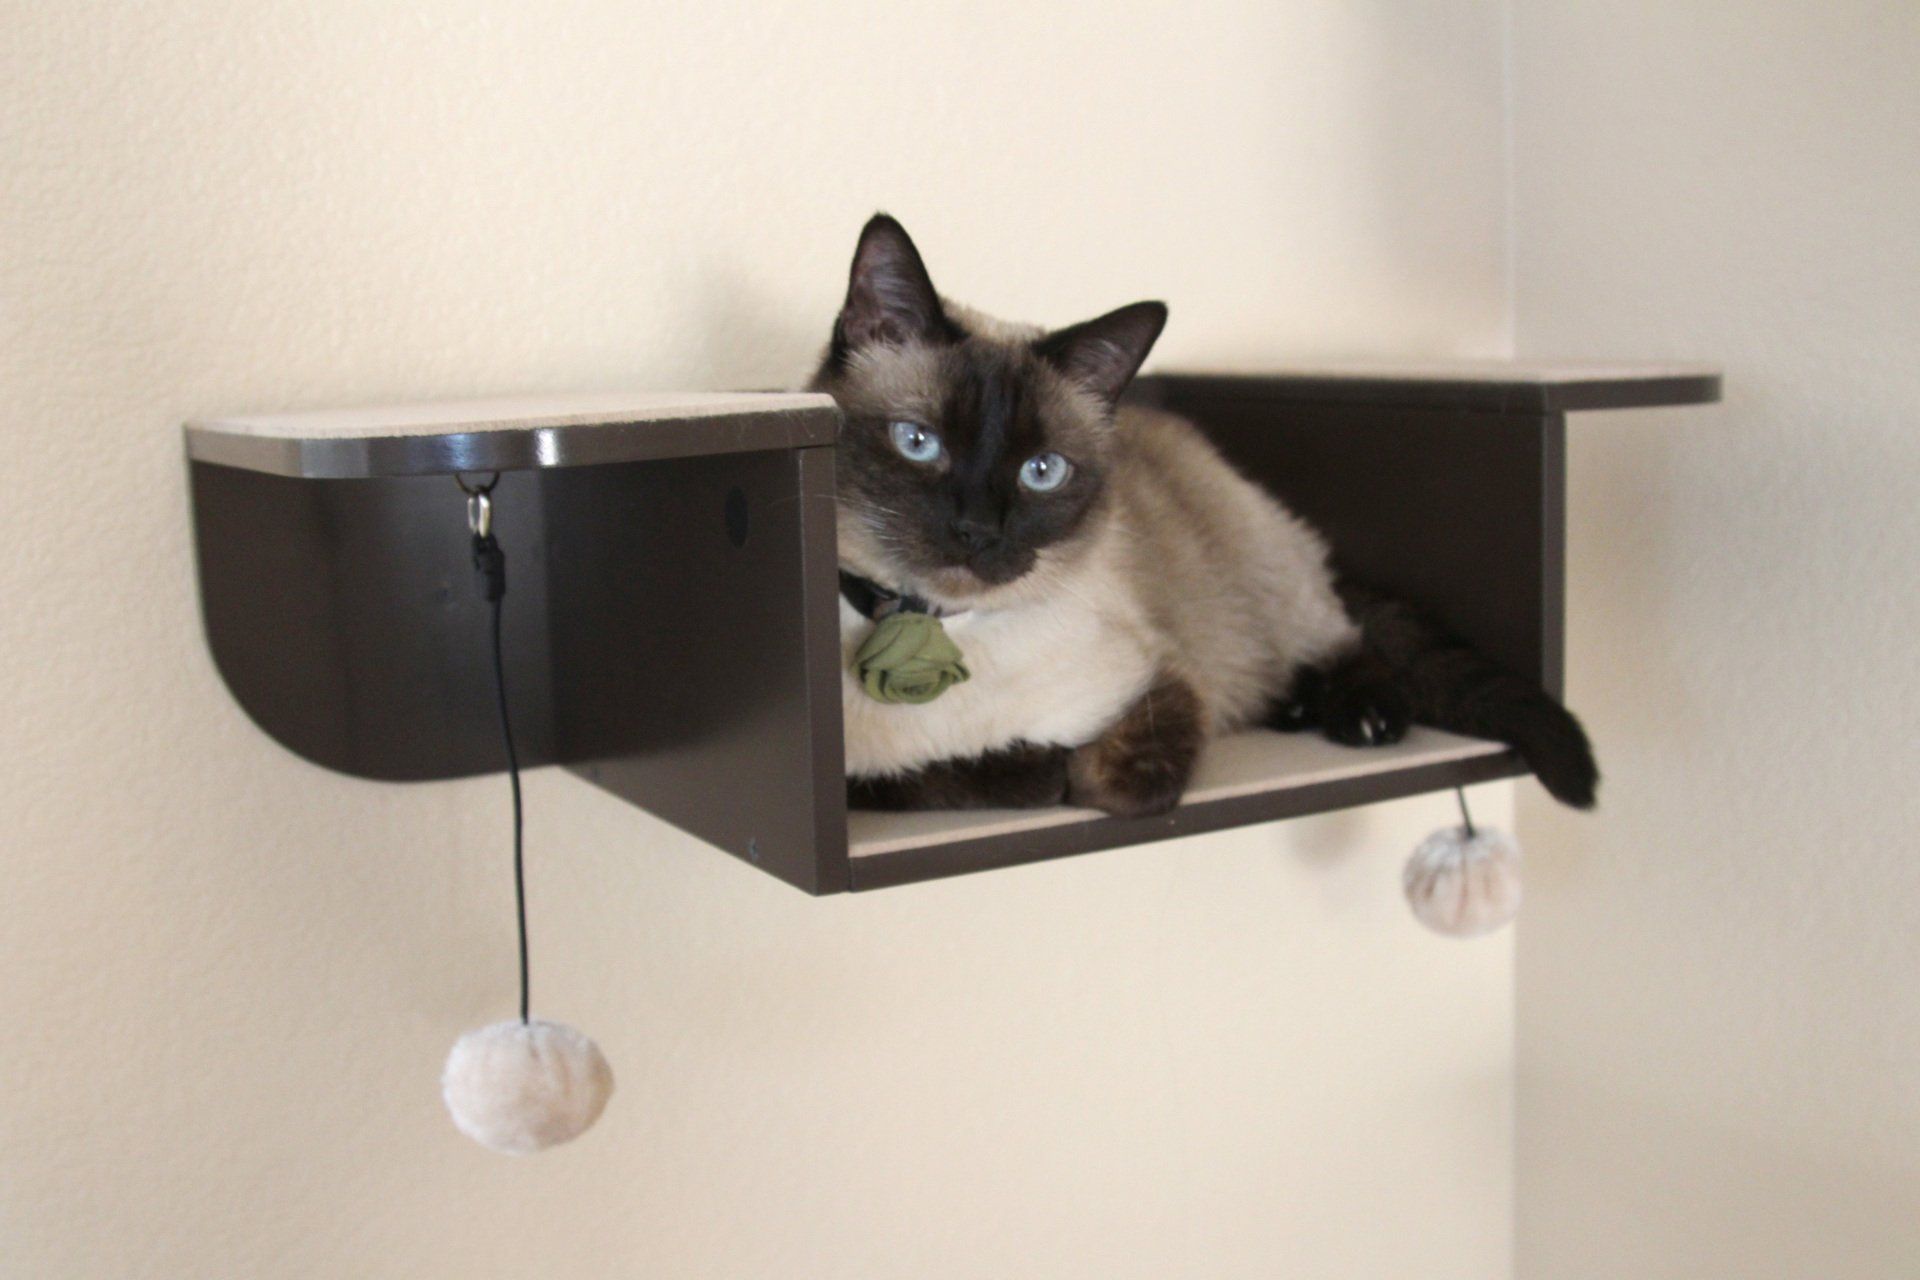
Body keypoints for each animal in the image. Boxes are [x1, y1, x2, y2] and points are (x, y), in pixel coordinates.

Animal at [812, 214, 1598, 818]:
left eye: (1043, 472)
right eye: (919, 443)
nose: (979, 532)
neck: (941, 630)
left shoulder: (1167, 686)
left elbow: (1099, 780)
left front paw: (1053, 765)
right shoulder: (851, 785)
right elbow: (942, 776)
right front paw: (1018, 763)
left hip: (1264, 592)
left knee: (1342, 642)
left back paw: (1359, 717)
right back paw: (1296, 711)